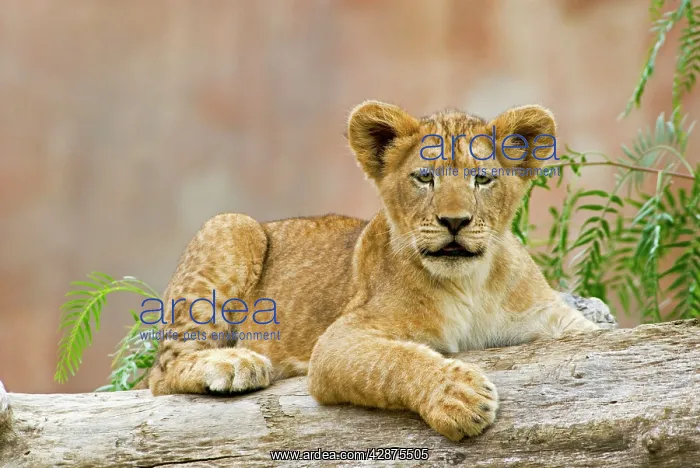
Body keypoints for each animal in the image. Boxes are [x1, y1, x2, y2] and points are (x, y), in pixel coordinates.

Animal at [147, 100, 601, 441]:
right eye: (424, 177)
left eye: (483, 179)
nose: (455, 222)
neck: (471, 283)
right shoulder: (338, 342)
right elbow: (396, 360)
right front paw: (459, 397)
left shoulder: (553, 319)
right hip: (231, 225)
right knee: (162, 372)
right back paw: (235, 364)